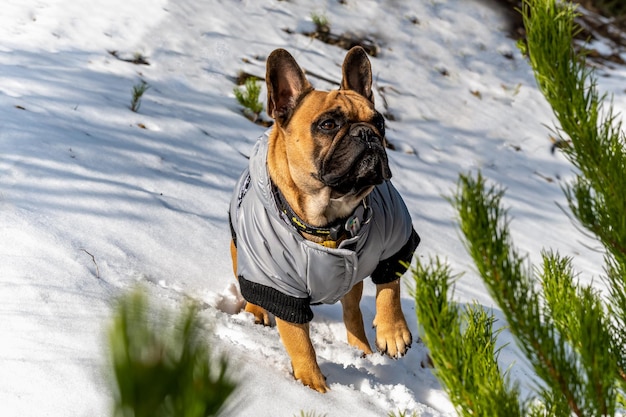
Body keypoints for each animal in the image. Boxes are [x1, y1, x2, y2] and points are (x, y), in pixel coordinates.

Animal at [229, 47, 420, 392]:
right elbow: (300, 342)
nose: (366, 134)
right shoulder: (280, 285)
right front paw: (315, 386)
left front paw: (393, 331)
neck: (330, 216)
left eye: (380, 123)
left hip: (353, 284)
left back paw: (362, 348)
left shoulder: (395, 240)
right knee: (250, 290)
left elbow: (390, 287)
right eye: (328, 124)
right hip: (243, 255)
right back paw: (255, 312)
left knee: (352, 311)